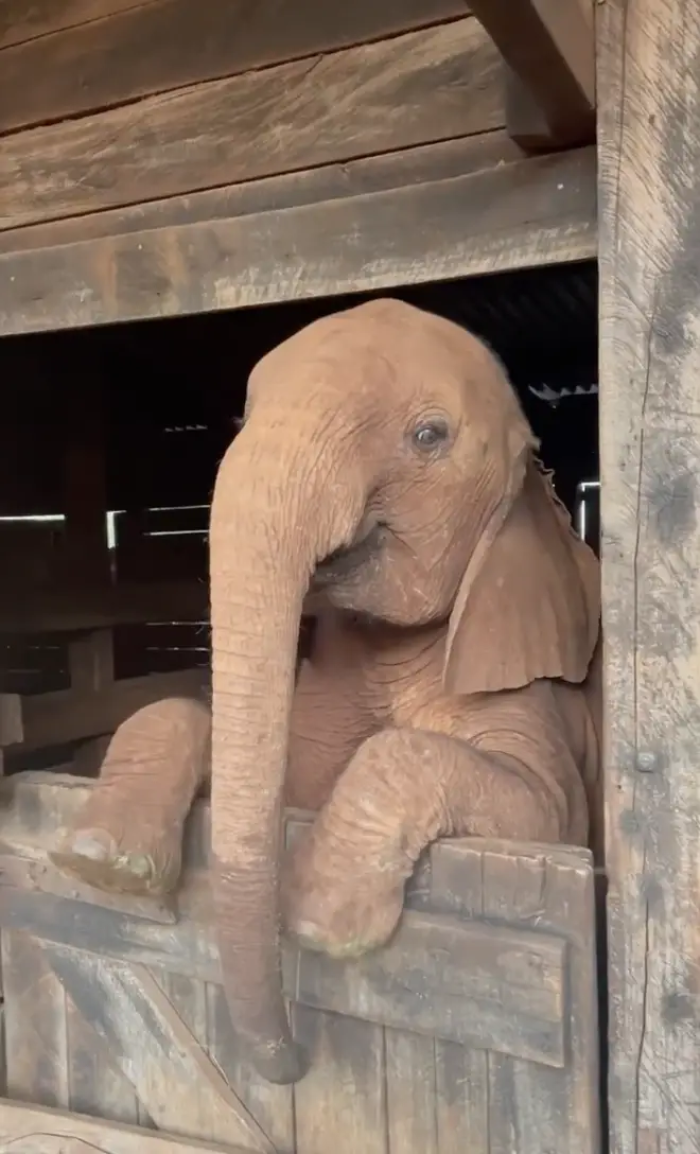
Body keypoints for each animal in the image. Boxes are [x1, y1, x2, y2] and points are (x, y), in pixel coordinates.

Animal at [50, 298, 602, 1088]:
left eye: (429, 436)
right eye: (245, 412)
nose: (289, 1063)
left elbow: (550, 813)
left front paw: (316, 917)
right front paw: (98, 859)